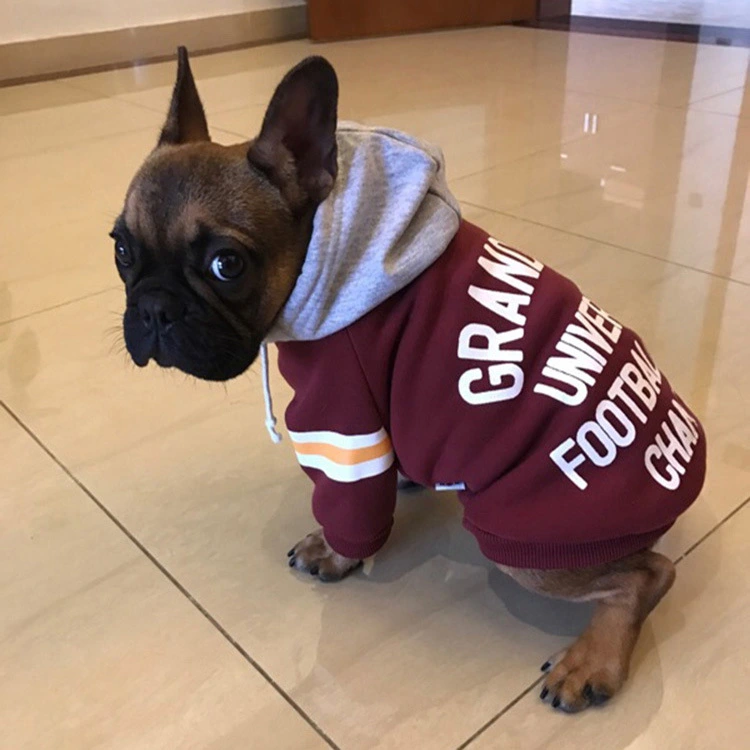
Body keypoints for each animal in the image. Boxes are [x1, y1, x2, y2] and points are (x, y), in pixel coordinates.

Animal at [110, 50, 704, 712]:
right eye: (121, 251)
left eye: (227, 264)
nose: (153, 309)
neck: (324, 248)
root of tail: (684, 478)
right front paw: (408, 480)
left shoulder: (339, 412)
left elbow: (348, 502)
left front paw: (336, 553)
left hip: (529, 546)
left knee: (649, 574)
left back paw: (593, 661)